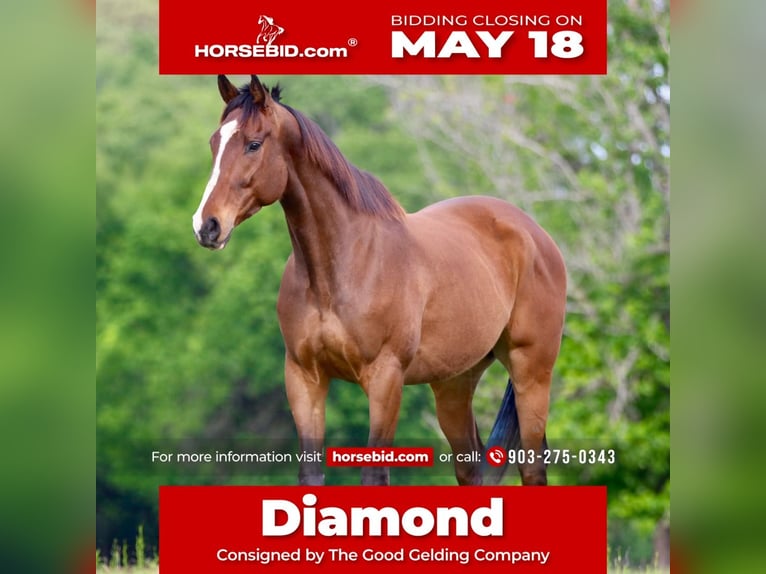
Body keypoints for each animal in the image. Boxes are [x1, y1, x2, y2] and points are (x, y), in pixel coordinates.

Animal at [192, 75, 567, 486]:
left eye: (254, 144)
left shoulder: (385, 379)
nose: (206, 226)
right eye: (214, 142)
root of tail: (534, 233)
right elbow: (311, 474)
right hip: (454, 382)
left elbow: (375, 474)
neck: (341, 267)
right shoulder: (304, 378)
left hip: (531, 371)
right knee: (471, 467)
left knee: (531, 465)